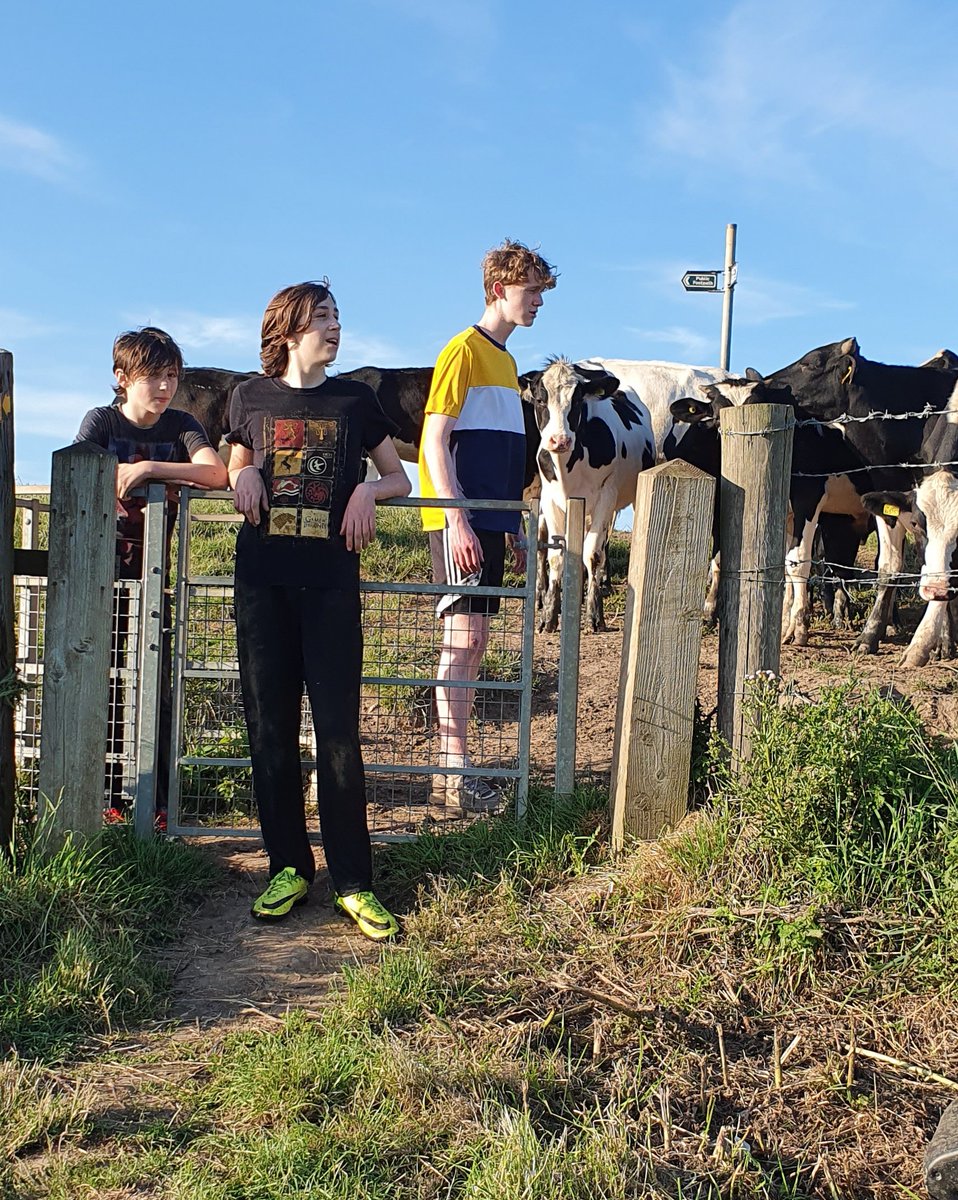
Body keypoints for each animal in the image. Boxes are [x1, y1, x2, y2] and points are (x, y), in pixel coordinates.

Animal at [521, 355, 657, 633]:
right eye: (540, 399)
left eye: (577, 401)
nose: (559, 440)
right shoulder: (550, 500)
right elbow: (557, 556)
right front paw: (549, 615)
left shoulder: (606, 496)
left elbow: (592, 555)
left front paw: (594, 615)